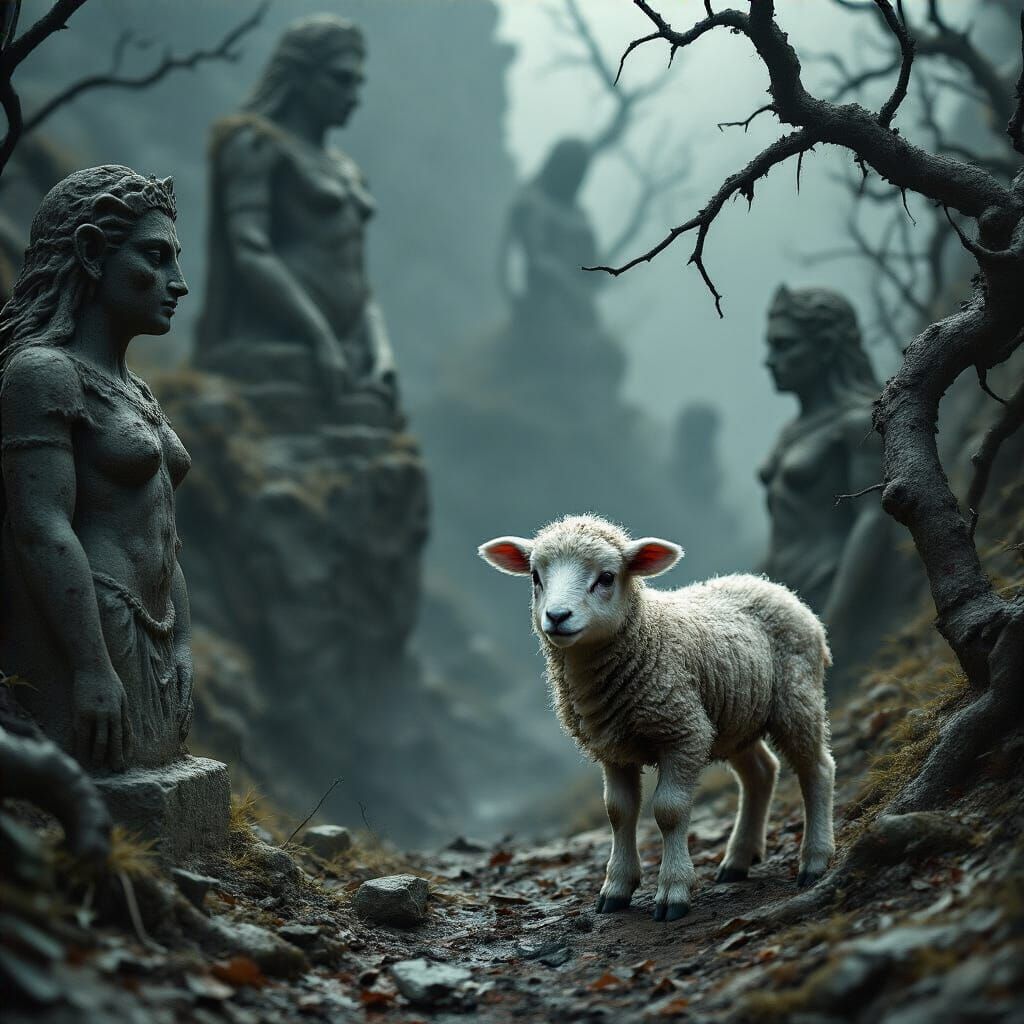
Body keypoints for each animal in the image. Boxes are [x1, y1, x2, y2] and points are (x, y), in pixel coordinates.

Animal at [478, 514, 835, 922]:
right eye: (536, 576)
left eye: (606, 577)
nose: (557, 617)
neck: (646, 633)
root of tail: (769, 584)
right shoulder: (613, 746)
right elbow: (618, 812)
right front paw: (616, 888)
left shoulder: (684, 733)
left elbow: (669, 811)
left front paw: (673, 891)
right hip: (734, 716)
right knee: (760, 773)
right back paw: (737, 860)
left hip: (796, 697)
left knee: (817, 769)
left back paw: (815, 860)